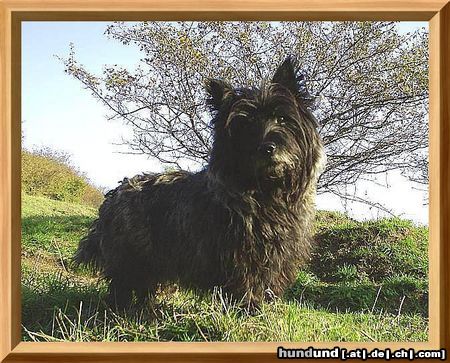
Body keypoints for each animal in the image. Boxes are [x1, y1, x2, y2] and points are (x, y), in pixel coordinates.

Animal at [74, 57, 326, 310]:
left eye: (281, 118)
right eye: (245, 126)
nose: (267, 148)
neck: (267, 193)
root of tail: (117, 190)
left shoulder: (280, 256)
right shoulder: (242, 257)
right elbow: (248, 284)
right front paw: (249, 309)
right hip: (131, 256)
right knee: (123, 284)